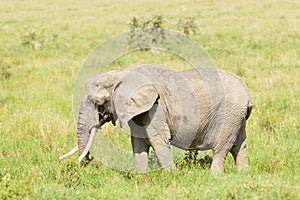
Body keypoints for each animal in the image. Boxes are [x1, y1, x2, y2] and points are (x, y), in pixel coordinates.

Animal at [59, 64, 252, 173]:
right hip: (238, 115)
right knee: (239, 145)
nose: (93, 164)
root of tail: (248, 95)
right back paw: (243, 173)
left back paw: (215, 175)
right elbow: (137, 142)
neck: (122, 74)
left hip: (229, 113)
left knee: (222, 146)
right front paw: (140, 176)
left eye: (99, 103)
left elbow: (157, 138)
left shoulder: (156, 106)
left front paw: (170, 175)